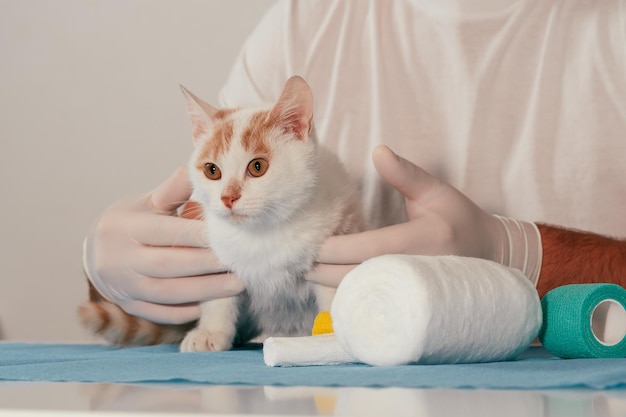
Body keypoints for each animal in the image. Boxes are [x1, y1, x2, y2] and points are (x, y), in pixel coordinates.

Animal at [80, 76, 364, 350]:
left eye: (258, 166)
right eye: (212, 170)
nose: (228, 198)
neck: (263, 233)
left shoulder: (338, 230)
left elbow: (334, 289)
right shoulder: (213, 258)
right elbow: (218, 297)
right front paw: (210, 333)